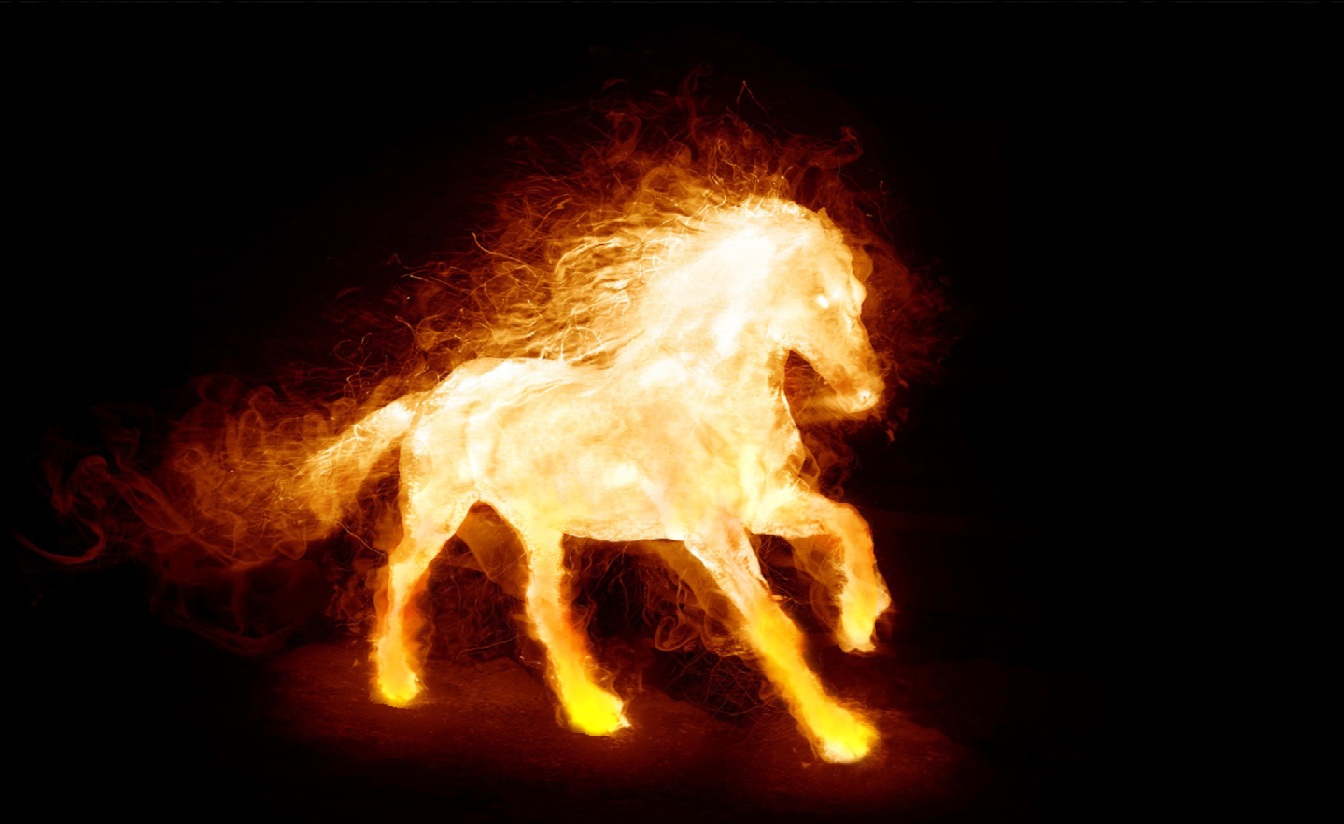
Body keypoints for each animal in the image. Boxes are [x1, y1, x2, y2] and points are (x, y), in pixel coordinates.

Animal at [296, 196, 892, 763]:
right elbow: (771, 626)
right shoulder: (712, 535)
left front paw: (858, 623)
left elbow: (851, 522)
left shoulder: (767, 504)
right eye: (820, 300)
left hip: (536, 526)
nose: (864, 392)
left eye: (858, 296)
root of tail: (431, 399)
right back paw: (398, 684)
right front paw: (842, 736)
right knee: (399, 576)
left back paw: (594, 710)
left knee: (542, 604)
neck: (708, 398)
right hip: (435, 513)